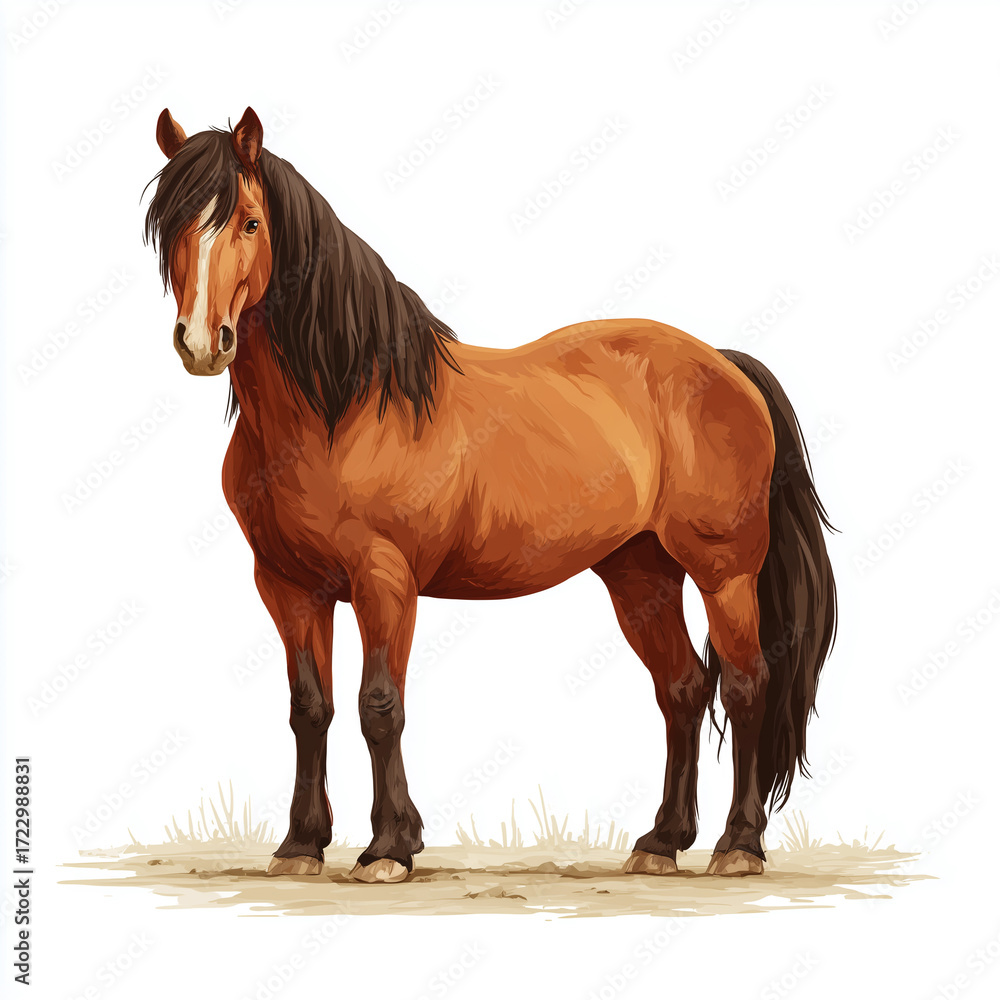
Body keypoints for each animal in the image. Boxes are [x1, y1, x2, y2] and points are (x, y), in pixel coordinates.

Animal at [144, 107, 836, 884]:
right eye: (169, 224)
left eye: (251, 222)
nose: (203, 343)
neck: (344, 405)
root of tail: (723, 363)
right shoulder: (288, 585)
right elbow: (309, 708)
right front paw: (301, 845)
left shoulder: (385, 580)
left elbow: (379, 705)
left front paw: (389, 848)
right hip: (640, 573)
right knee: (683, 689)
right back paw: (661, 842)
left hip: (724, 573)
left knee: (746, 686)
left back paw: (737, 845)